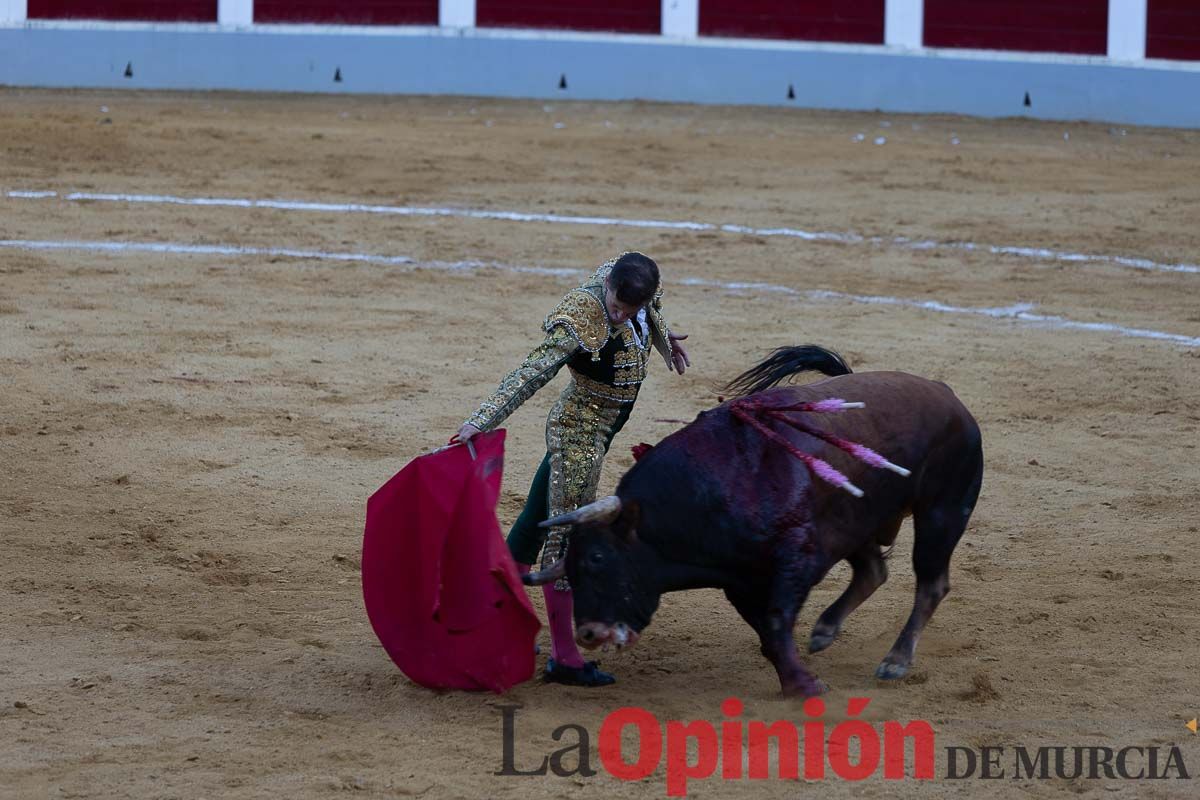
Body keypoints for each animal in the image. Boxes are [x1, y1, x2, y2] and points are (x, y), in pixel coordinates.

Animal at [525, 347, 984, 695]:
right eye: (570, 567)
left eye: (598, 558)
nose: (587, 633)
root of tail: (948, 395)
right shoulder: (740, 581)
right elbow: (768, 634)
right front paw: (798, 681)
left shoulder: (798, 558)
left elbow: (777, 622)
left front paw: (805, 687)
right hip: (862, 522)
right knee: (873, 570)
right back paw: (824, 631)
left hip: (941, 514)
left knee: (930, 584)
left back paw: (896, 660)